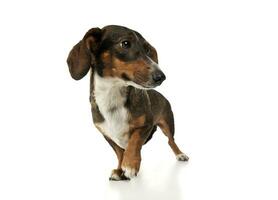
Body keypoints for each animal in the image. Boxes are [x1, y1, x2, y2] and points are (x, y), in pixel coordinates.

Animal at [67, 25, 189, 181]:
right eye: (125, 43)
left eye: (147, 49)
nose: (161, 77)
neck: (112, 96)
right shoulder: (107, 134)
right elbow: (120, 153)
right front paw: (120, 170)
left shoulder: (146, 125)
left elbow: (134, 141)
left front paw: (130, 165)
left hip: (168, 123)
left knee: (171, 141)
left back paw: (180, 154)